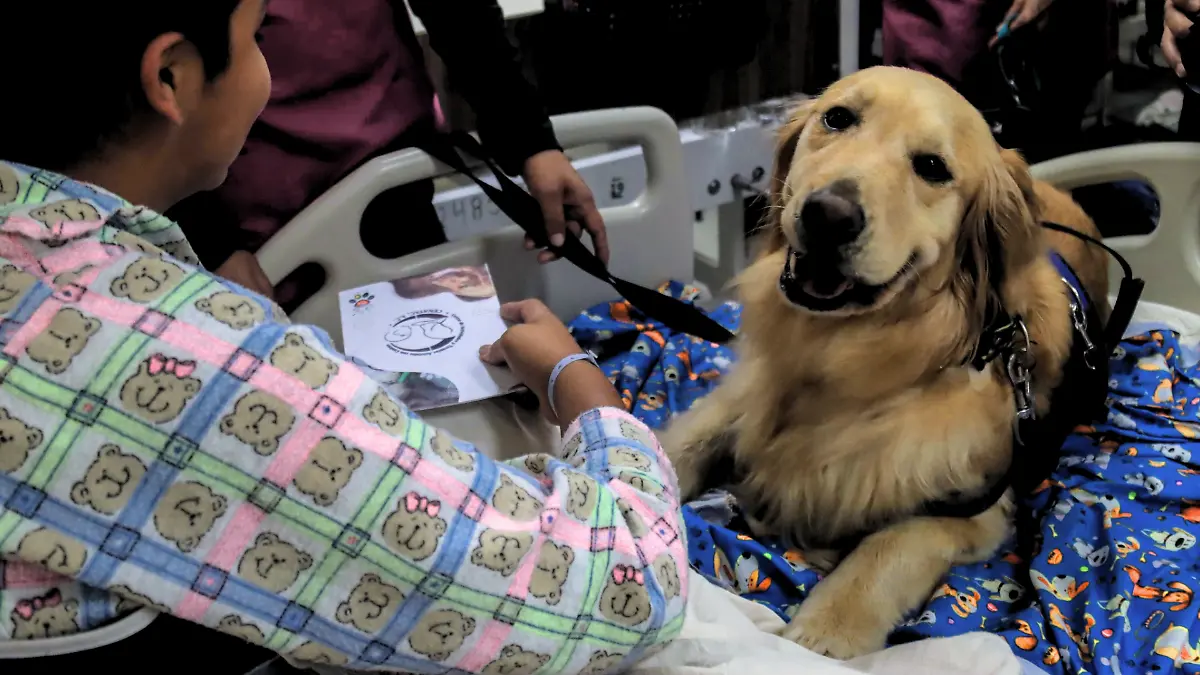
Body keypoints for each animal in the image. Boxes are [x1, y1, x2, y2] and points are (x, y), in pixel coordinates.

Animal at [662, 66, 1108, 658]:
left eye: (932, 167)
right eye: (837, 118)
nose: (828, 216)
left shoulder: (975, 508)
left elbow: (887, 545)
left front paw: (826, 632)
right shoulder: (743, 395)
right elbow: (679, 446)